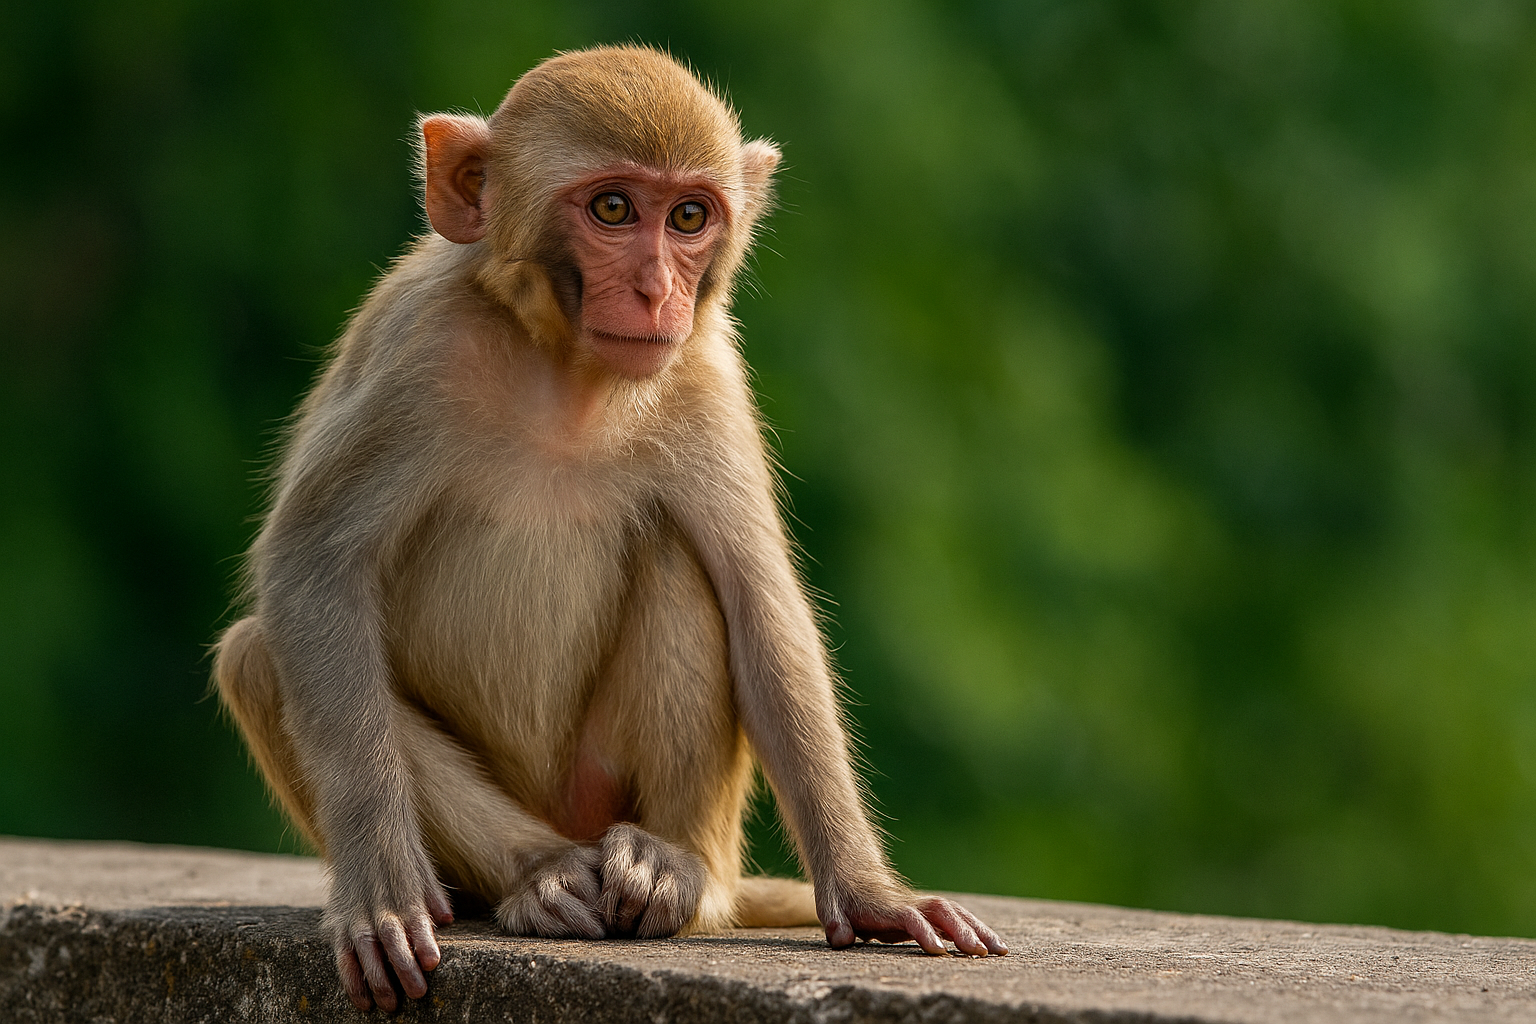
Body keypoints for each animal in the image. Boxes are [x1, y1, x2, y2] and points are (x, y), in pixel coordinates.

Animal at [214, 45, 1006, 1013]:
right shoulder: (418, 346)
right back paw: (540, 874)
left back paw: (671, 868)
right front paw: (380, 890)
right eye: (614, 209)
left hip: (619, 798)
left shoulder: (705, 371)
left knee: (679, 561)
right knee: (259, 657)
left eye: (691, 216)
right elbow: (313, 567)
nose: (658, 289)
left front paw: (870, 894)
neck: (569, 375)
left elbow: (759, 605)